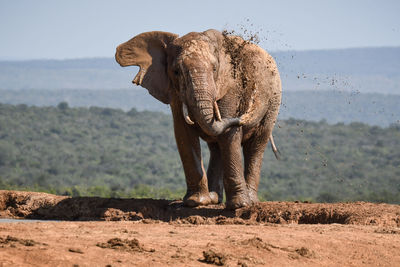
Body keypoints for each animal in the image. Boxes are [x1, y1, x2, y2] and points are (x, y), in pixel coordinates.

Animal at [115, 28, 282, 209]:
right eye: (176, 71)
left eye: (215, 69)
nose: (253, 98)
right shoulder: (175, 92)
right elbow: (184, 133)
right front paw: (196, 202)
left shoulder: (232, 86)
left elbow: (229, 135)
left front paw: (239, 206)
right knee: (216, 147)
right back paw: (214, 198)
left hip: (274, 101)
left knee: (256, 145)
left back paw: (250, 201)